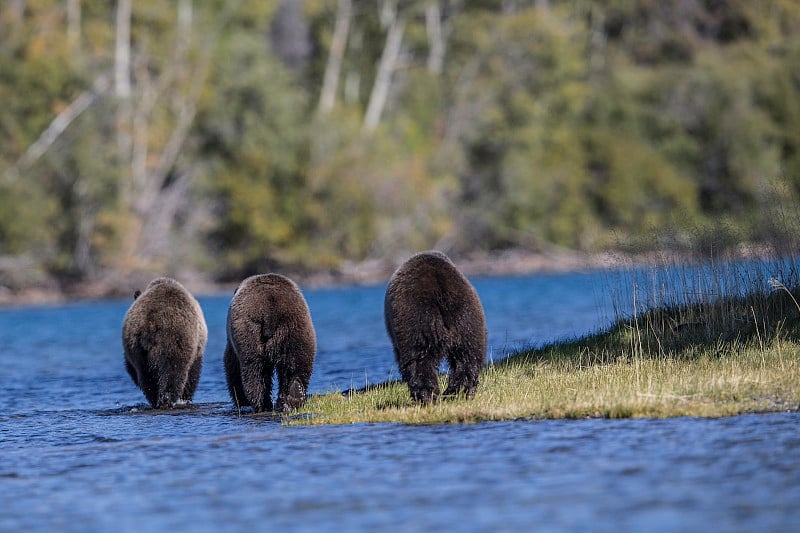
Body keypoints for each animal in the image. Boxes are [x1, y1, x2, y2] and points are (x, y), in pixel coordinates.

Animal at [122, 276, 208, 410]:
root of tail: (150, 324)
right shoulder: (197, 346)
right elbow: (194, 372)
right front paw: (185, 397)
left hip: (136, 346)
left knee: (146, 377)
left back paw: (155, 400)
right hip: (172, 340)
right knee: (172, 372)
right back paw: (167, 400)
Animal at [223, 272, 318, 414]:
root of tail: (270, 312)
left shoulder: (232, 343)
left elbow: (232, 367)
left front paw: (241, 401)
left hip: (251, 332)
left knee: (255, 370)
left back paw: (262, 404)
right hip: (294, 329)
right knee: (296, 364)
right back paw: (293, 397)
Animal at [382, 251, 488, 402]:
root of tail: (442, 294)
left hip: (419, 321)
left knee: (419, 359)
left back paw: (426, 396)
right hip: (468, 319)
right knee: (467, 357)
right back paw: (458, 392)